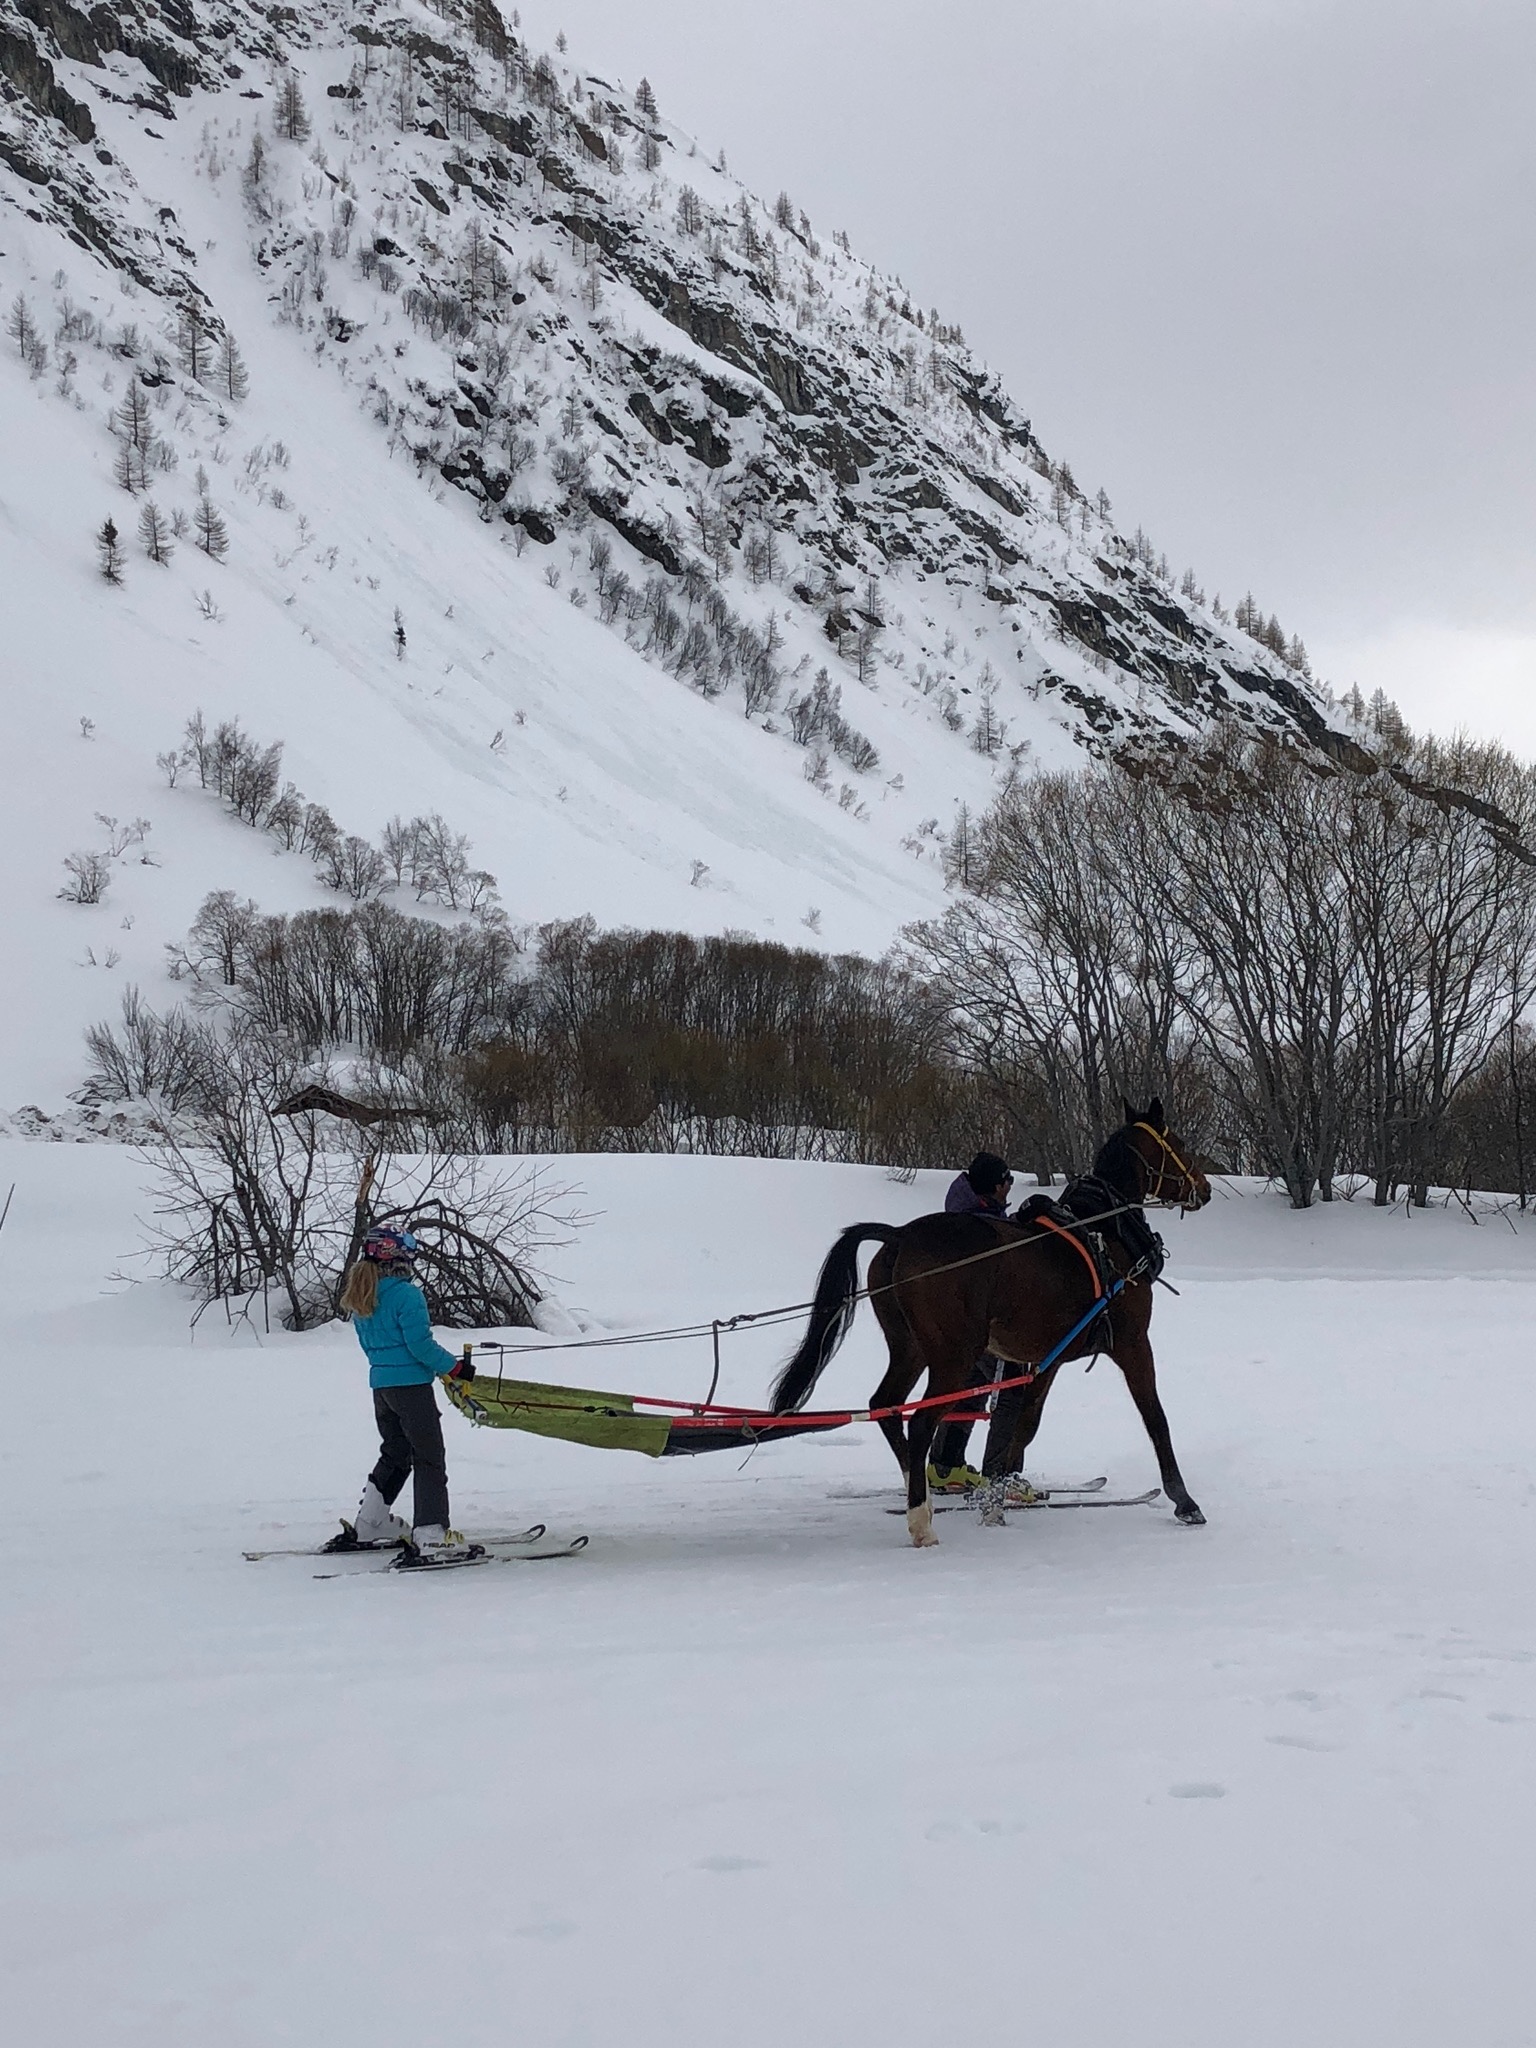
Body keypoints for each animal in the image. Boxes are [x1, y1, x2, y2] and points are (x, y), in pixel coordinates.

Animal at [770, 1099, 1212, 1545]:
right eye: (1178, 1143)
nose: (1205, 1187)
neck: (1106, 1230)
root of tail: (899, 1236)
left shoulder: (1047, 1358)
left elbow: (1024, 1425)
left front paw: (997, 1497)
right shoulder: (1132, 1342)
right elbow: (1155, 1418)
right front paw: (1184, 1501)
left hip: (910, 1348)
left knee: (887, 1406)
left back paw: (920, 1491)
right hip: (954, 1355)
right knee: (922, 1422)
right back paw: (921, 1519)